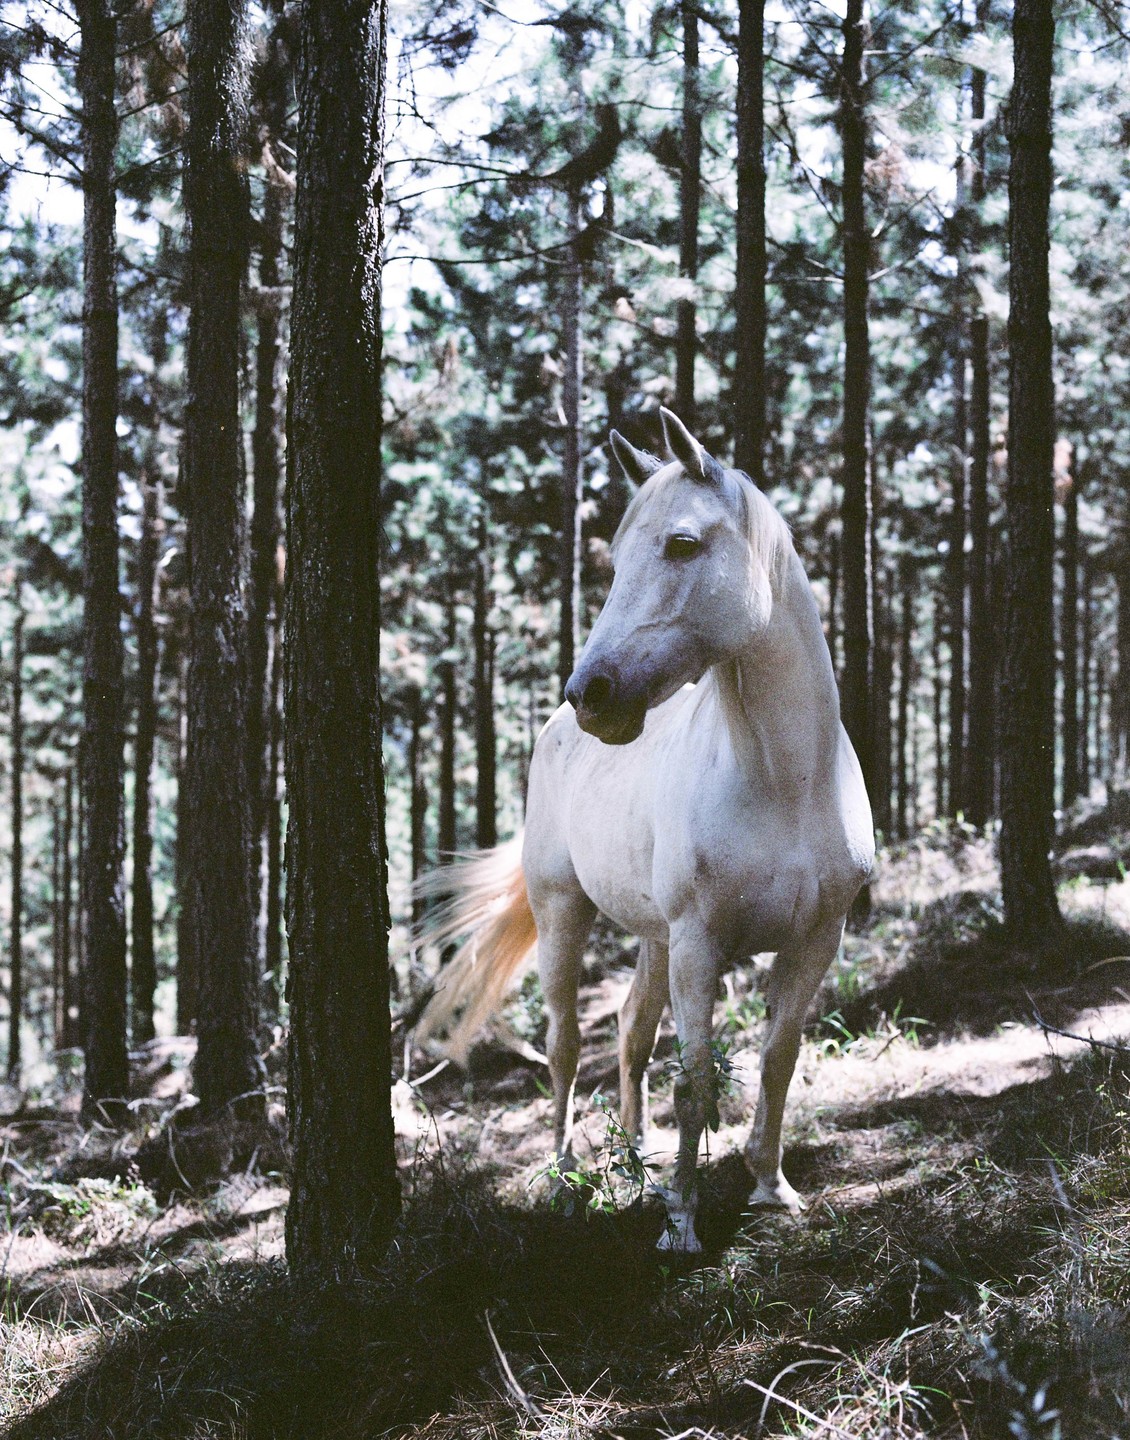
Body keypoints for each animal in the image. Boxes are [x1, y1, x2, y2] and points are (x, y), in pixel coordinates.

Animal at [417, 408, 874, 1252]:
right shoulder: (700, 944)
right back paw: (567, 1179)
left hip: (655, 939)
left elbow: (777, 1057)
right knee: (566, 1045)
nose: (591, 693)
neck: (788, 782)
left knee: (631, 1029)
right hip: (566, 912)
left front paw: (770, 1187)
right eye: (617, 554)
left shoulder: (814, 940)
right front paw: (683, 1225)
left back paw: (634, 1161)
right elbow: (692, 1080)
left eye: (682, 544)